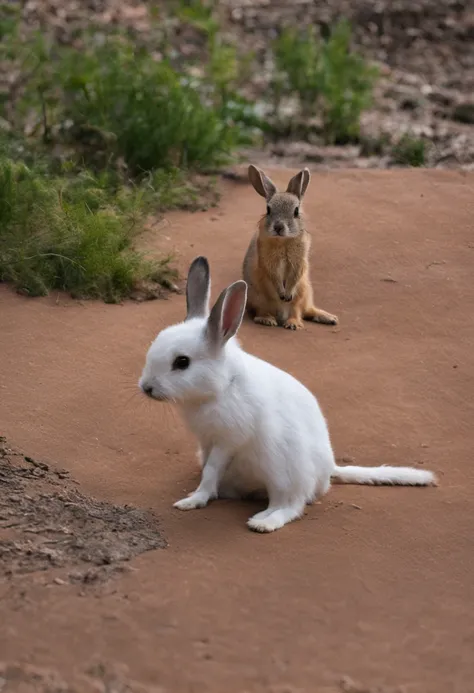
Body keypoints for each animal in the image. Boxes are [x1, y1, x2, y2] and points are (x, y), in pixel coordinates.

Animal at [140, 256, 436, 532]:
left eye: (182, 362)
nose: (146, 387)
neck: (223, 387)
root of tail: (328, 470)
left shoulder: (228, 440)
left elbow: (211, 471)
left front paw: (192, 500)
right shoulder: (206, 442)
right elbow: (208, 472)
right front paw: (202, 494)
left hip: (283, 475)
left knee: (291, 505)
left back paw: (263, 522)